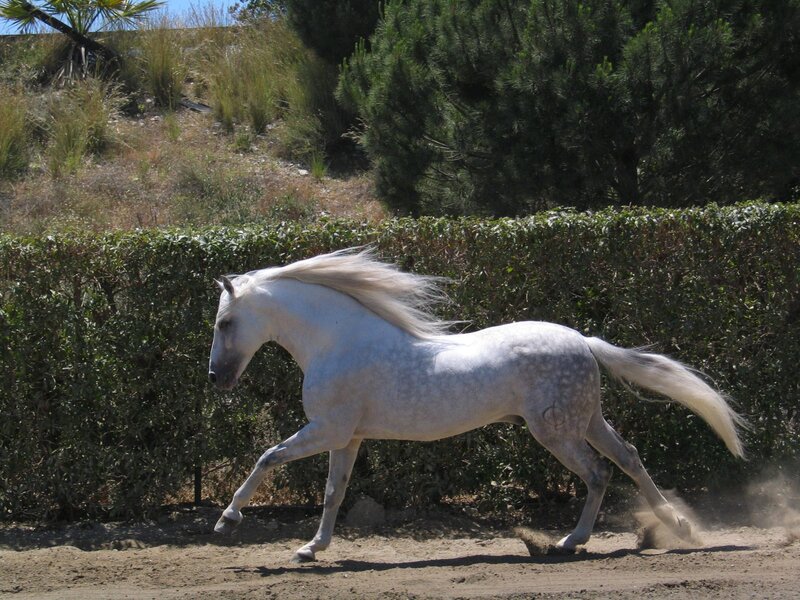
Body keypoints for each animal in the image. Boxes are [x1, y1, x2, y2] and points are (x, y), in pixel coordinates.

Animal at [207, 248, 746, 563]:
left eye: (225, 323)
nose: (216, 379)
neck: (336, 342)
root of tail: (583, 341)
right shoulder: (348, 436)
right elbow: (332, 493)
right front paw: (311, 548)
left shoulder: (326, 428)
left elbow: (267, 458)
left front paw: (226, 521)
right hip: (585, 420)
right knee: (628, 458)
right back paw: (676, 526)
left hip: (556, 431)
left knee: (598, 473)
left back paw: (572, 542)